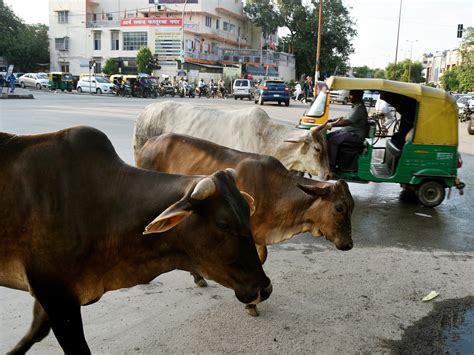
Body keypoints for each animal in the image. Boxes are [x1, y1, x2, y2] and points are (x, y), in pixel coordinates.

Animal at [0, 126, 272, 354]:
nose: (264, 288)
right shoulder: (56, 293)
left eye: (246, 212)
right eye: (223, 223)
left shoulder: (55, 295)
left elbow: (35, 332)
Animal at [135, 134, 354, 318]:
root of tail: (150, 142)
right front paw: (251, 304)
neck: (275, 192)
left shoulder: (257, 236)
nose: (349, 244)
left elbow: (261, 259)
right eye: (339, 208)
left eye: (352, 206)